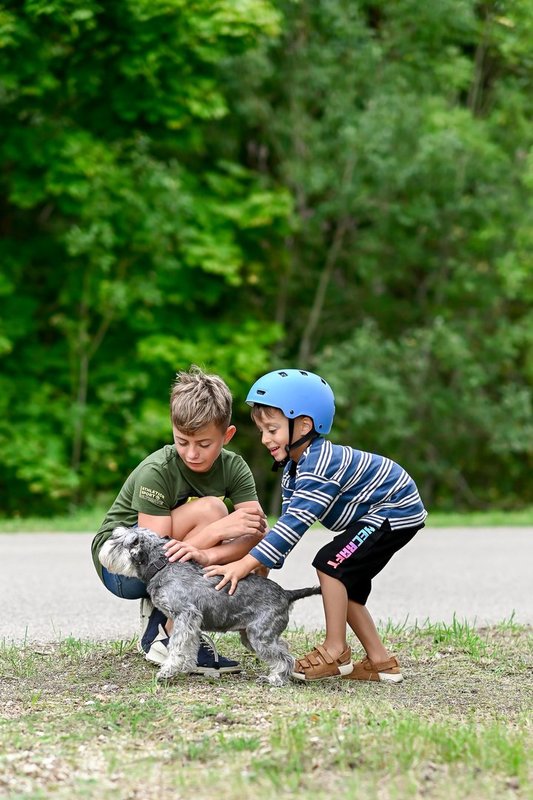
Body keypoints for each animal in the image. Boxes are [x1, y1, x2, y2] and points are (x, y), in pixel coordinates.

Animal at [100, 524, 320, 688]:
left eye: (120, 541)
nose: (105, 546)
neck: (162, 566)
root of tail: (286, 594)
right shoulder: (190, 624)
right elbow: (188, 647)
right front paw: (186, 666)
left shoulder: (185, 615)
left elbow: (177, 646)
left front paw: (168, 670)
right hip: (252, 636)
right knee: (284, 648)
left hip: (260, 637)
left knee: (286, 658)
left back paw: (275, 679)